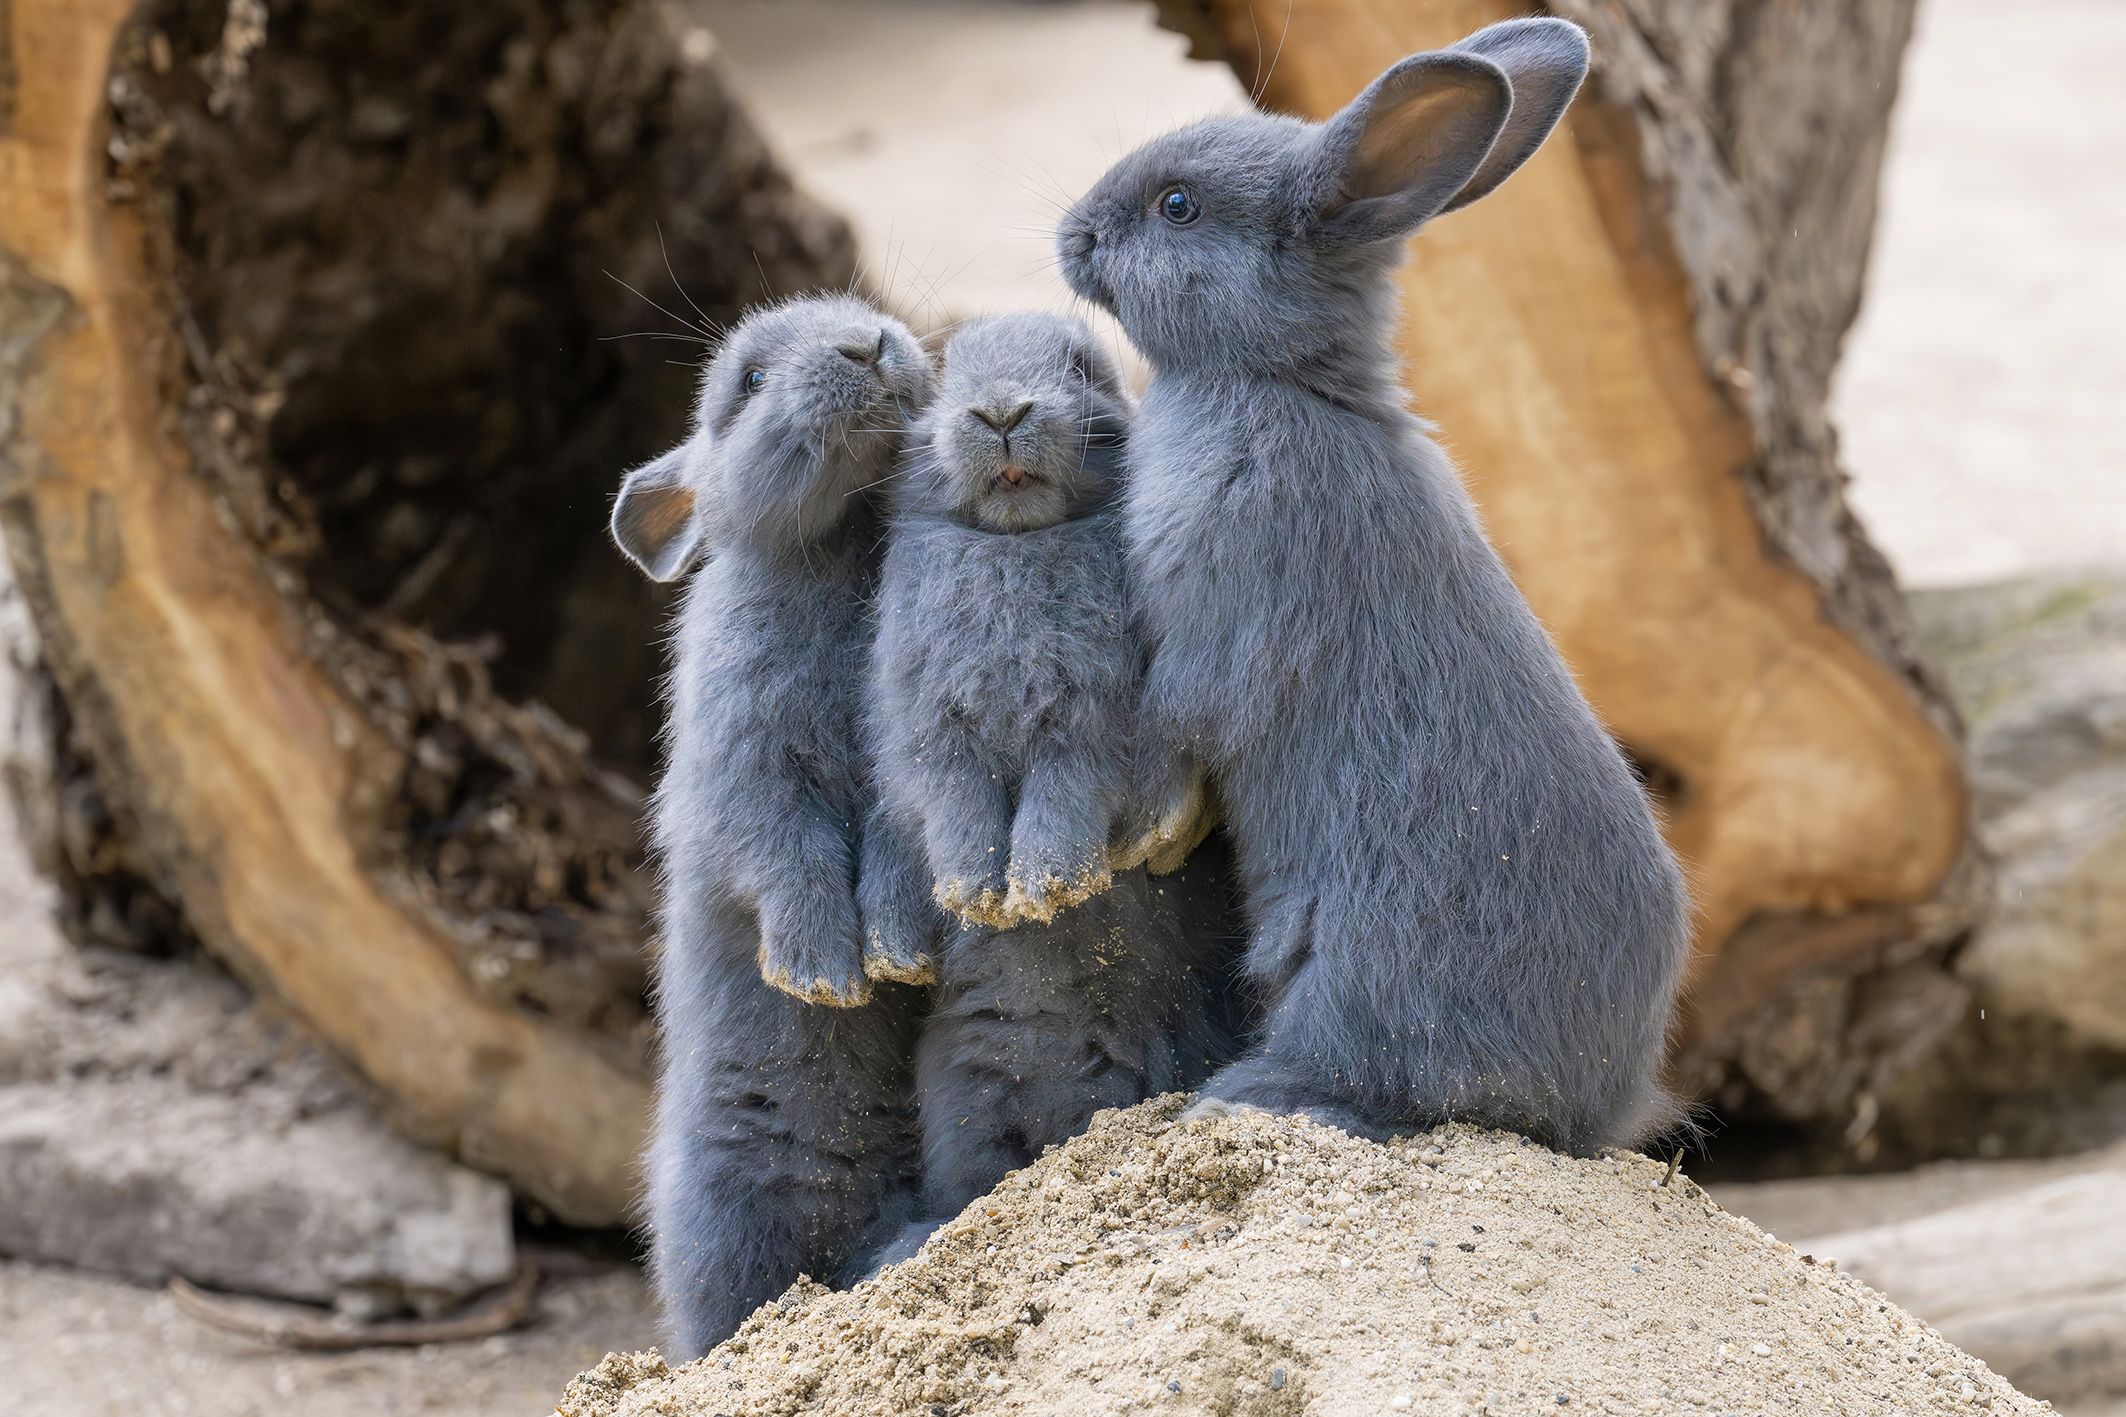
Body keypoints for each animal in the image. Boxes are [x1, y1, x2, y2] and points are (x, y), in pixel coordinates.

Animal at [610, 292, 936, 1359]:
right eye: (747, 382)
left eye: (866, 308)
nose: (868, 344)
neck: (843, 549)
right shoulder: (744, 784)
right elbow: (789, 859)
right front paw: (824, 975)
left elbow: (893, 855)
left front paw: (898, 955)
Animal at [860, 311, 1238, 1247]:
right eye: (947, 372)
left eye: (1082, 367)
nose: (1001, 413)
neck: (1018, 544)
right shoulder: (940, 736)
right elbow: (959, 811)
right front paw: (977, 896)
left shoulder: (1084, 728)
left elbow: (1060, 805)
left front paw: (1044, 889)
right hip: (965, 1094)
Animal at [1054, 17, 1690, 1155]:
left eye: (1177, 206)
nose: (1070, 233)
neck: (1275, 384)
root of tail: (1591, 1106)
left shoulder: (1218, 615)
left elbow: (1180, 715)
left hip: (1355, 976)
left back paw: (1246, 1097)